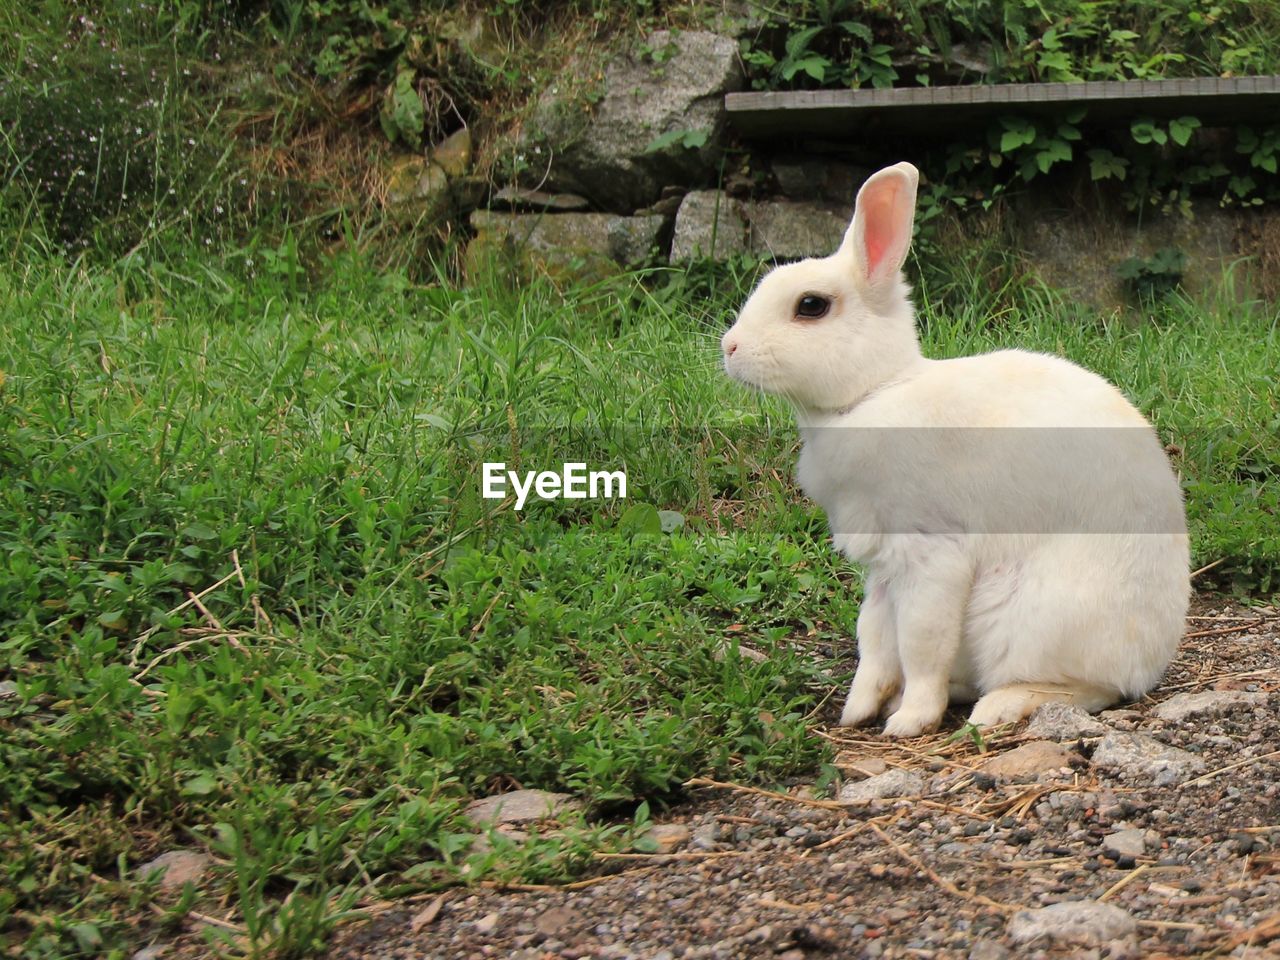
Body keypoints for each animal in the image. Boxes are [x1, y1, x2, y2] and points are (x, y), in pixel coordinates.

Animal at [721, 163, 1187, 737]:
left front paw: (910, 721)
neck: (874, 392)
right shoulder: (882, 568)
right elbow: (875, 637)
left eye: (811, 306)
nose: (729, 348)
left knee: (1090, 689)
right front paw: (859, 710)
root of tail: (1153, 658)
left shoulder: (930, 554)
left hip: (1028, 623)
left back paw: (995, 707)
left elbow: (920, 643)